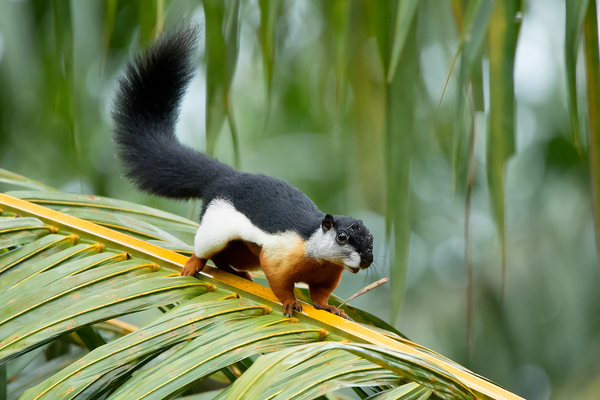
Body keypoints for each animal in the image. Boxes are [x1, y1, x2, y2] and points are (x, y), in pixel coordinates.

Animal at [110, 27, 372, 318]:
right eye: (342, 236)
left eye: (371, 240)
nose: (367, 259)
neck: (315, 252)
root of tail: (224, 177)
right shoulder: (279, 254)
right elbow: (279, 280)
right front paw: (290, 302)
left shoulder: (327, 275)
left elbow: (320, 295)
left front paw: (330, 308)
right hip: (216, 228)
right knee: (206, 250)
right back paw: (193, 265)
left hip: (243, 249)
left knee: (224, 257)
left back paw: (236, 273)